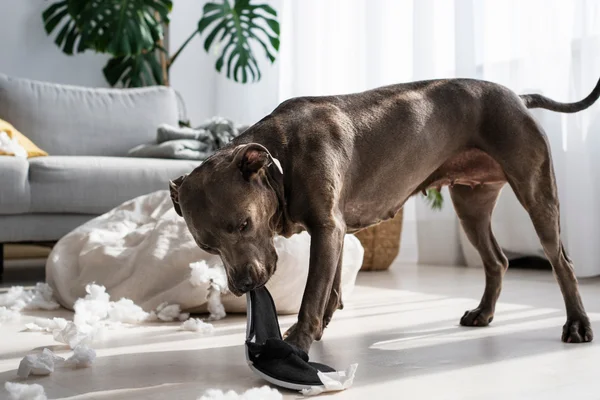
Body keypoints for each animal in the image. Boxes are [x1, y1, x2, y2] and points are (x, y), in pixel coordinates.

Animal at [169, 76, 600, 352]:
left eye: (243, 224)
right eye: (208, 246)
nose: (242, 285)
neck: (280, 157)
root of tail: (517, 97)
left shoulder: (327, 228)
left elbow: (313, 293)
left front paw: (298, 341)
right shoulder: (335, 232)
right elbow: (331, 288)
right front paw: (321, 328)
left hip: (536, 192)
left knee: (560, 261)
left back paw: (577, 324)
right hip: (471, 206)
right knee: (497, 260)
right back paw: (484, 313)